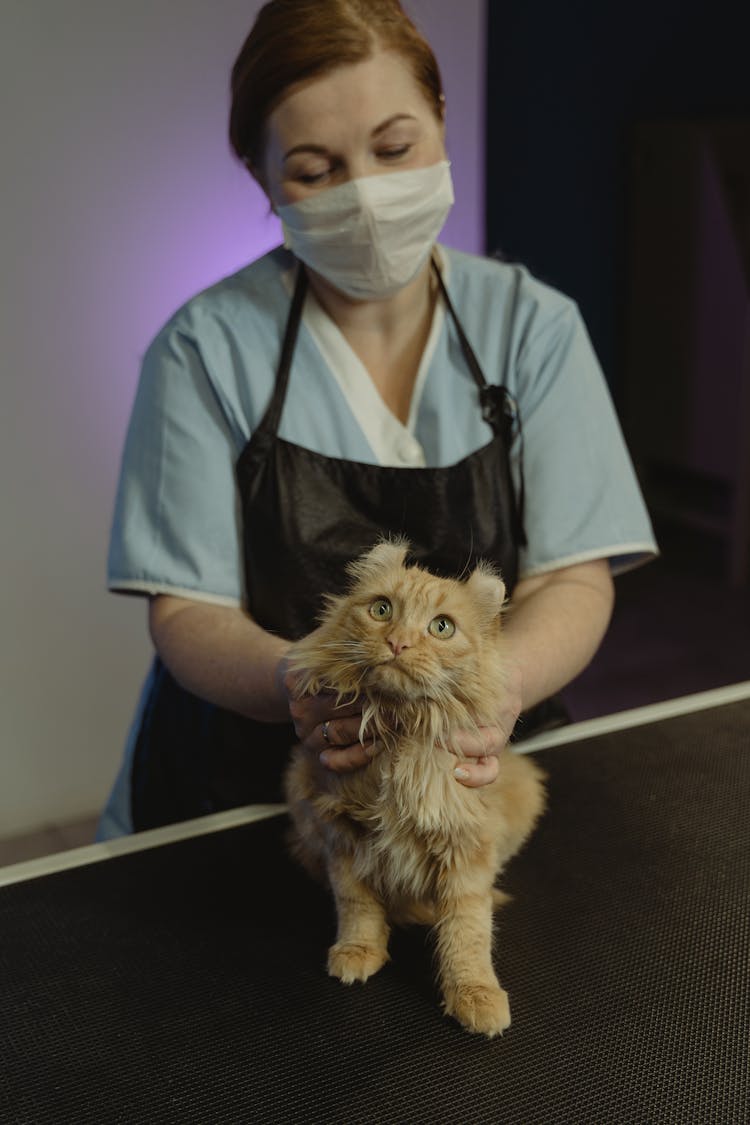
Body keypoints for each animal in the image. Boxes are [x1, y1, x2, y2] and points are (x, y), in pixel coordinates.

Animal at [283, 540, 546, 1039]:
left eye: (441, 627)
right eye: (382, 609)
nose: (398, 643)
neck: (399, 730)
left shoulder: (466, 847)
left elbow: (467, 931)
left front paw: (474, 994)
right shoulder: (340, 834)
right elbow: (357, 905)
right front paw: (359, 950)